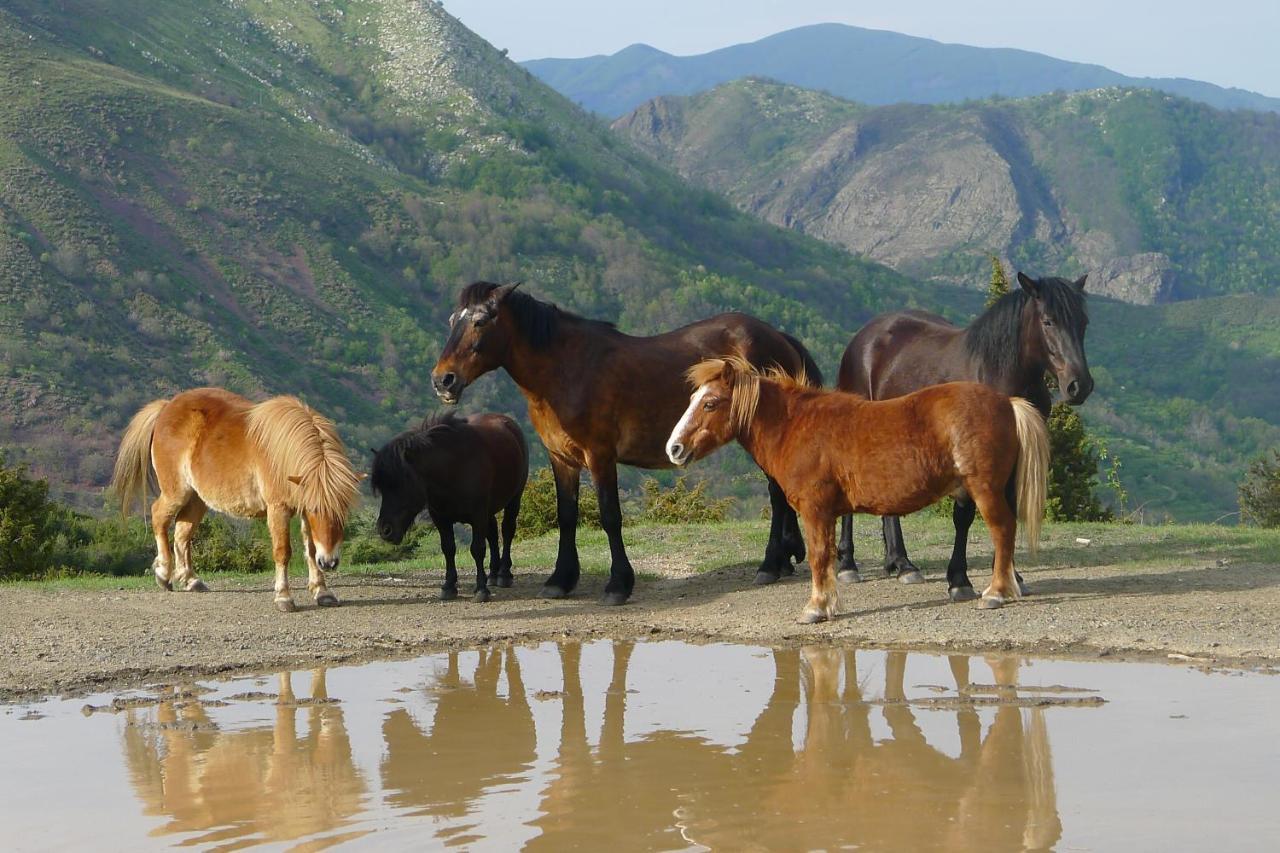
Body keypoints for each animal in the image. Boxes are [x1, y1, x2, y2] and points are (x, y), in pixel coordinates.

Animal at [110, 384, 360, 612]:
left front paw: (322, 592)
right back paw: (163, 573)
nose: (329, 562)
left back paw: (191, 580)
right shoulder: (279, 509)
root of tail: (166, 408)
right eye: (317, 509)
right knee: (159, 518)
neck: (281, 454)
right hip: (176, 492)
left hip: (197, 499)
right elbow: (282, 552)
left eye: (343, 512)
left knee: (182, 533)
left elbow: (311, 550)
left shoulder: (302, 510)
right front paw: (284, 597)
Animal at [371, 409, 529, 596]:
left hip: (514, 500)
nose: (385, 530)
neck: (454, 468)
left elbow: (477, 549)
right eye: (381, 488)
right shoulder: (441, 519)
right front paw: (449, 586)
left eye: (401, 483)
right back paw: (492, 574)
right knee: (492, 534)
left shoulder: (478, 516)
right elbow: (448, 548)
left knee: (507, 531)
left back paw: (504, 574)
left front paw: (481, 590)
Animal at [424, 281, 814, 601]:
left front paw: (618, 584)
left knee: (777, 495)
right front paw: (560, 579)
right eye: (452, 320)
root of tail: (778, 337)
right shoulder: (561, 458)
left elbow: (610, 516)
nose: (443, 380)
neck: (568, 370)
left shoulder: (600, 456)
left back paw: (769, 565)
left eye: (480, 322)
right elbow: (567, 517)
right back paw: (783, 561)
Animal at [665, 356, 1044, 622]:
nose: (674, 448)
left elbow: (819, 558)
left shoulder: (815, 510)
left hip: (985, 489)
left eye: (710, 403)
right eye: (694, 399)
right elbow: (828, 558)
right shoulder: (829, 513)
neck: (795, 426)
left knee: (1002, 530)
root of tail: (1007, 402)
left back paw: (995, 593)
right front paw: (828, 604)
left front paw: (815, 608)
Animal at [834, 268, 1095, 594]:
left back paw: (902, 564)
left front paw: (1010, 576)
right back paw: (848, 565)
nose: (1079, 385)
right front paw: (958, 580)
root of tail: (865, 337)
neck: (995, 373)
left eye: (1083, 322)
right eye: (1048, 321)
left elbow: (1007, 511)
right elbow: (965, 516)